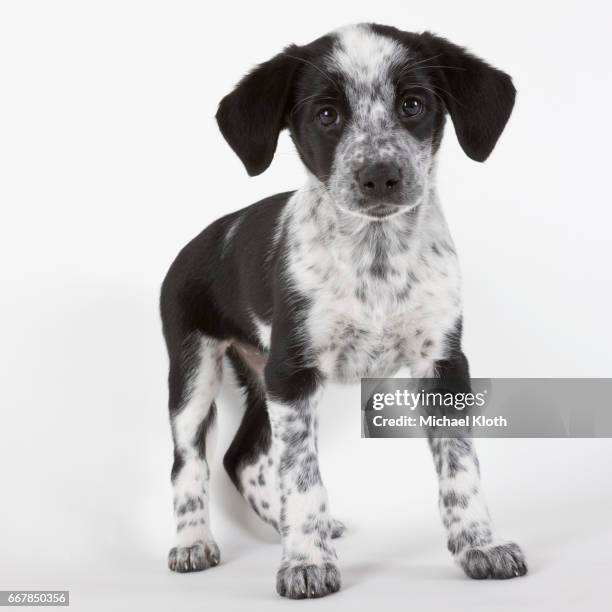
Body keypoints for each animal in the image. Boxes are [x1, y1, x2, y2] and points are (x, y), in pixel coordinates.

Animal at [159, 22, 524, 596]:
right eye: (327, 115)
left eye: (413, 104)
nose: (379, 175)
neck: (375, 258)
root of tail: (196, 243)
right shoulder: (294, 373)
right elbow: (302, 474)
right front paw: (305, 561)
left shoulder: (442, 363)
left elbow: (460, 464)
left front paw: (480, 546)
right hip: (197, 371)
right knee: (190, 461)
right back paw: (194, 542)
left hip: (260, 376)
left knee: (242, 456)